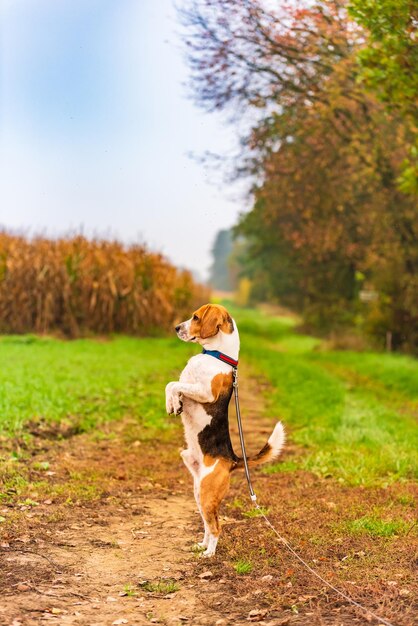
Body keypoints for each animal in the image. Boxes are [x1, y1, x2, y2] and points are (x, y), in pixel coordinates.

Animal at [165, 302, 286, 556]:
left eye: (195, 317)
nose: (176, 327)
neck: (217, 356)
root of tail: (232, 460)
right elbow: (172, 386)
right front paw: (173, 404)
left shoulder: (204, 391)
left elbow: (173, 384)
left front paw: (174, 402)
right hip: (199, 492)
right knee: (207, 523)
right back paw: (201, 545)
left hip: (207, 492)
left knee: (217, 526)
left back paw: (209, 553)